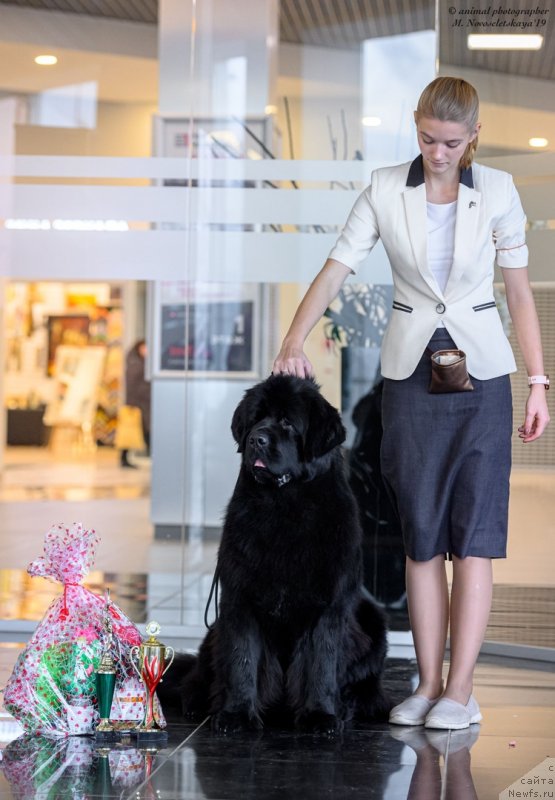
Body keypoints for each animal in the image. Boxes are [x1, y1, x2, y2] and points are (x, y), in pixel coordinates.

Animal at [164, 378, 390, 736]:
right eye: (257, 418)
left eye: (287, 422)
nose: (256, 439)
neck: (284, 506)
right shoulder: (239, 597)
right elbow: (242, 657)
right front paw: (236, 714)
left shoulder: (329, 605)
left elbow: (321, 662)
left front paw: (320, 715)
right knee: (197, 676)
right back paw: (200, 702)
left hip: (373, 619)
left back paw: (350, 706)